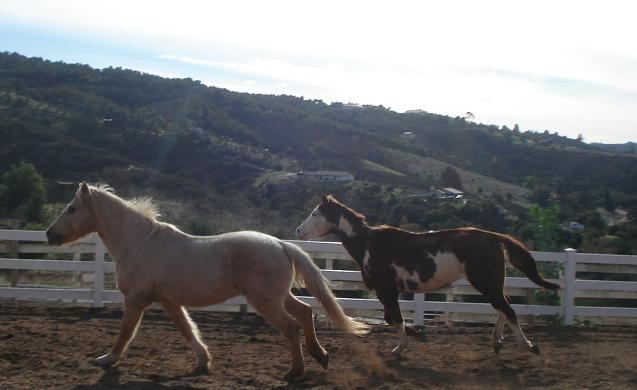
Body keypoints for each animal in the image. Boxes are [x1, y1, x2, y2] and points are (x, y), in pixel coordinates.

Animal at [47, 184, 366, 380]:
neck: (139, 243)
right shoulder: (169, 301)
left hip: (265, 301)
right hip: (278, 296)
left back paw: (294, 372)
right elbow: (187, 329)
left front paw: (107, 359)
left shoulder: (136, 299)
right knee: (306, 311)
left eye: (72, 208)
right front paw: (204, 361)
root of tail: (281, 244)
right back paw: (320, 356)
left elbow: (125, 332)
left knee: (291, 326)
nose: (50, 235)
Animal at [296, 194, 560, 356]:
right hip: (490, 283)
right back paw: (497, 342)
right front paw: (418, 337)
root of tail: (492, 237)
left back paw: (528, 345)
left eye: (315, 213)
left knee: (508, 310)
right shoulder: (389, 292)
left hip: (485, 282)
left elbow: (396, 319)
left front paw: (400, 348)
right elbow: (392, 319)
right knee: (503, 307)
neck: (370, 245)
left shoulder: (387, 291)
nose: (298, 231)